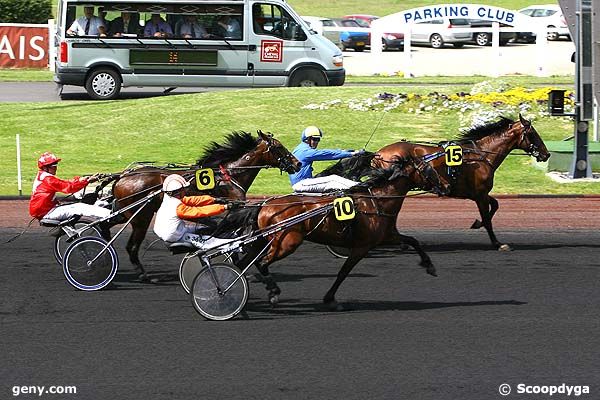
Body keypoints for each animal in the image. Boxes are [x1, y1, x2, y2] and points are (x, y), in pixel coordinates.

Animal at [110, 131, 300, 278]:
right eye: (278, 147)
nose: (297, 164)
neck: (229, 175)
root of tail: (122, 177)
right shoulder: (234, 209)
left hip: (126, 214)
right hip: (141, 217)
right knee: (132, 246)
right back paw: (142, 273)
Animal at [239, 153, 450, 310]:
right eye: (429, 169)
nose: (446, 186)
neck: (377, 201)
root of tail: (264, 205)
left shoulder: (387, 236)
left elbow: (413, 240)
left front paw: (429, 265)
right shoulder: (362, 246)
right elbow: (343, 272)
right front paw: (330, 299)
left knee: (248, 261)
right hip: (287, 242)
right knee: (261, 262)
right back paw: (272, 291)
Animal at [378, 114, 552, 250]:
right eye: (533, 133)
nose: (546, 154)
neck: (482, 155)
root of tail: (380, 153)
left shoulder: (479, 193)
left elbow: (495, 205)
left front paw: (477, 224)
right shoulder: (480, 194)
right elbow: (487, 219)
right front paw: (497, 243)